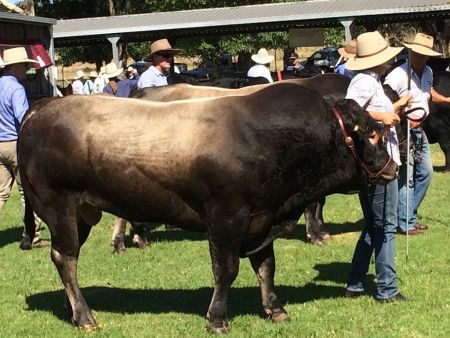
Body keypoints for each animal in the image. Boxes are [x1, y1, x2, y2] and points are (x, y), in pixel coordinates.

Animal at [18, 82, 398, 332]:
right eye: (373, 134)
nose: (393, 168)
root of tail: (42, 107)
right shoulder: (226, 218)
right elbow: (226, 270)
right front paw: (217, 318)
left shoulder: (262, 219)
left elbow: (266, 267)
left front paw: (275, 309)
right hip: (59, 206)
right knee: (65, 258)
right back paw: (85, 316)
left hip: (80, 213)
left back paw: (75, 309)